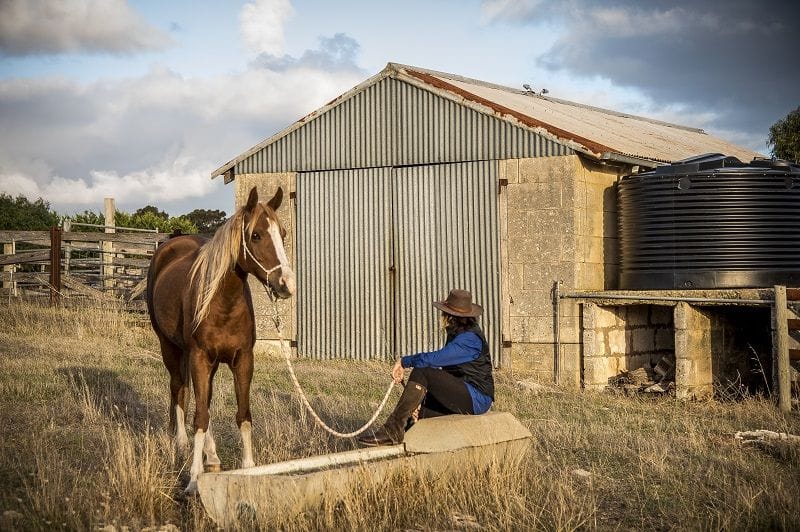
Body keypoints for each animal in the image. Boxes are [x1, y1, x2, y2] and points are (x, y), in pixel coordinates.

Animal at [145, 187, 296, 494]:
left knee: (203, 398)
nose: (287, 283)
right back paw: (181, 443)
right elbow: (200, 417)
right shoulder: (199, 357)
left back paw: (212, 456)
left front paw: (249, 469)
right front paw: (194, 479)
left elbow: (243, 415)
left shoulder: (243, 360)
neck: (222, 302)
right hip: (170, 347)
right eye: (256, 235)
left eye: (283, 233)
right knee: (179, 389)